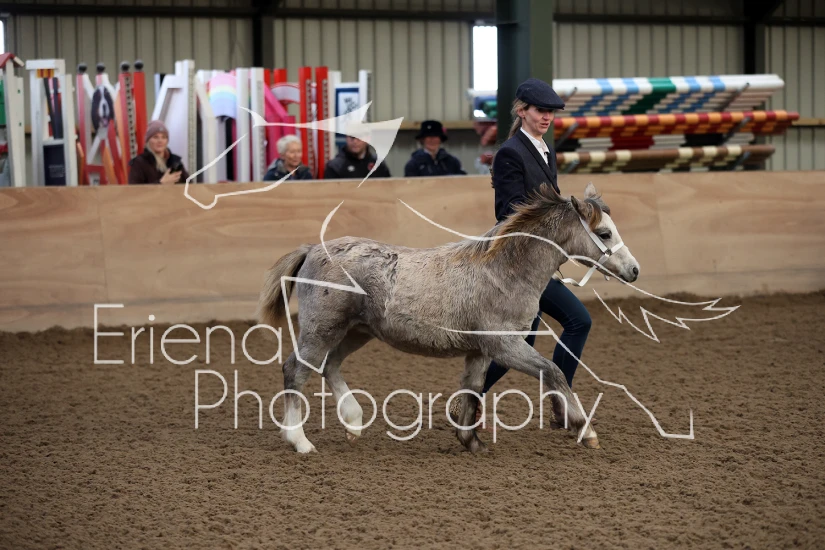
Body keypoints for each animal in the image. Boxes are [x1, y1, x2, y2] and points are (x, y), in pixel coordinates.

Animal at [257, 183, 640, 453]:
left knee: (330, 365)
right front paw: (585, 430)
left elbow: (472, 389)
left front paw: (470, 441)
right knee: (296, 371)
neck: (503, 272)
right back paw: (300, 441)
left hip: (356, 332)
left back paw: (353, 423)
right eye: (604, 233)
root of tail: (312, 249)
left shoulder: (481, 352)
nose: (634, 270)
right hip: (321, 330)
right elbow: (554, 372)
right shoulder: (505, 346)